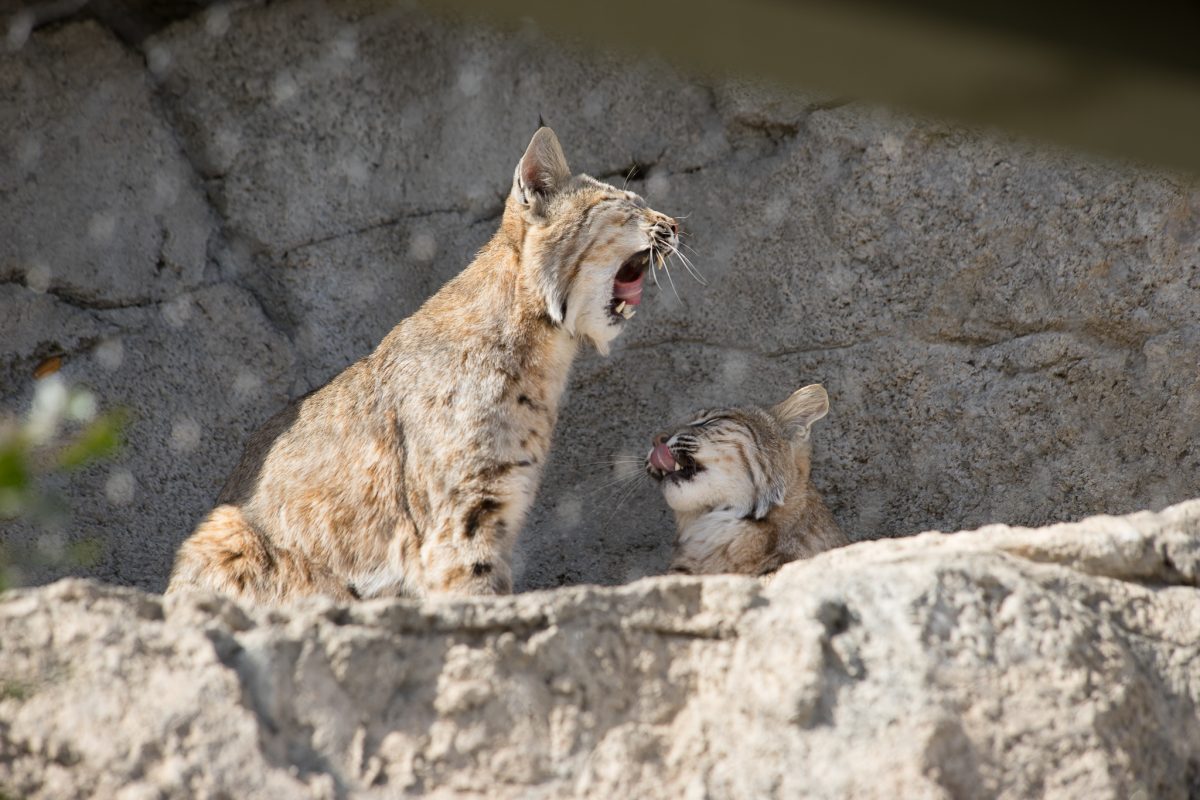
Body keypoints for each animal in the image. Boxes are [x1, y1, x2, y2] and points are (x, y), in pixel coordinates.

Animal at [166, 126, 686, 599]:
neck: (544, 345)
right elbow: (472, 591)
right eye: (627, 205)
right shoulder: (462, 512)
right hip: (224, 527)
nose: (677, 225)